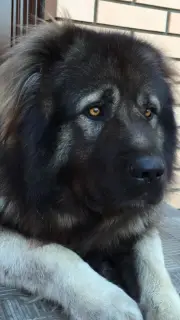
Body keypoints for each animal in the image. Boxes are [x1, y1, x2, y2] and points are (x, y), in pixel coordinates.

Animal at [0, 20, 179, 320]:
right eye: (95, 110)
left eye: (148, 112)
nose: (154, 172)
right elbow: (55, 253)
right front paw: (108, 302)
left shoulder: (137, 224)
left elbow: (154, 269)